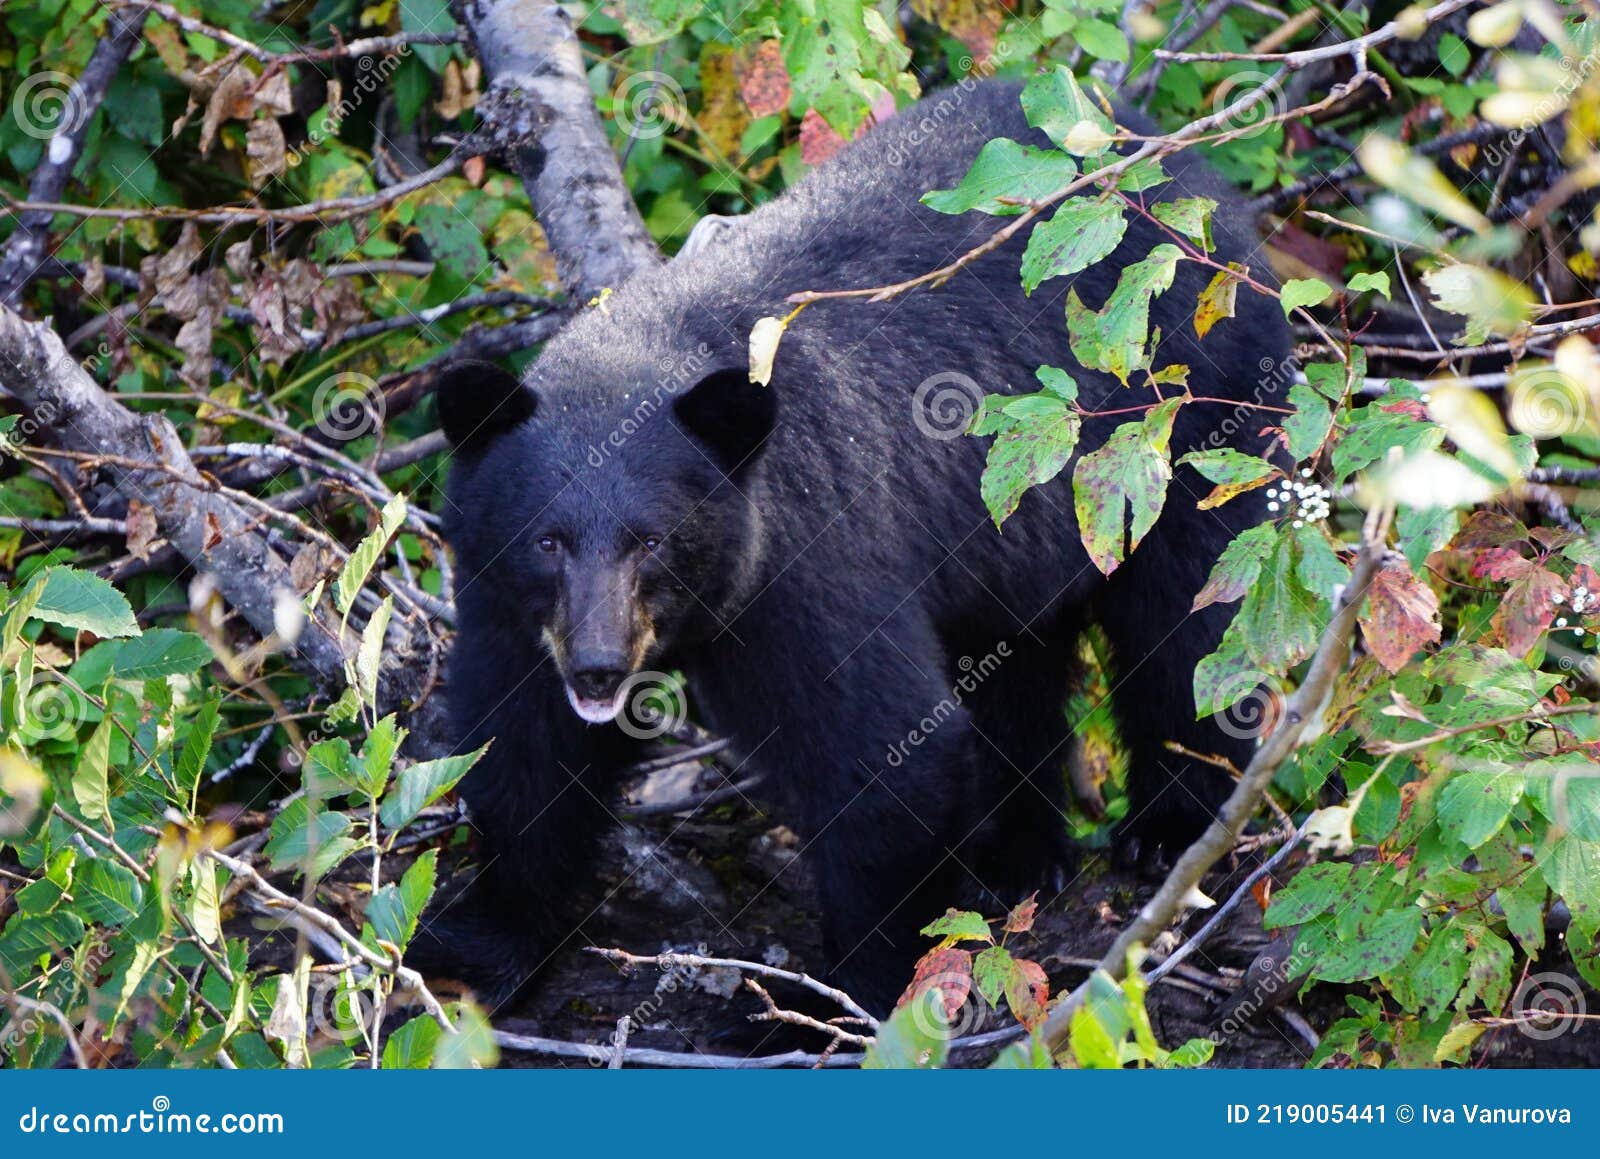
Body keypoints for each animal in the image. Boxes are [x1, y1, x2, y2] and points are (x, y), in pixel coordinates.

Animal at [420, 77, 1291, 1014]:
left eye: (651, 540)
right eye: (548, 539)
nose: (597, 667)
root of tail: (1177, 161)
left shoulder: (803, 570)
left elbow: (881, 750)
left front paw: (853, 994)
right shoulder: (507, 604)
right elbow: (521, 748)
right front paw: (481, 945)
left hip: (1191, 422)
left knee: (1188, 624)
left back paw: (1168, 827)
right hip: (1013, 533)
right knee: (1013, 662)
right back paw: (1016, 852)